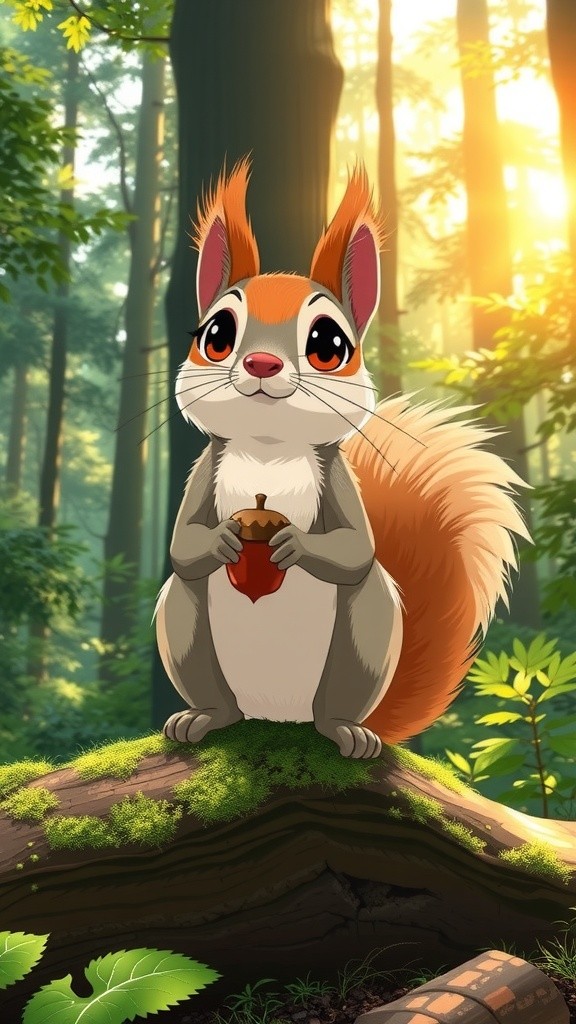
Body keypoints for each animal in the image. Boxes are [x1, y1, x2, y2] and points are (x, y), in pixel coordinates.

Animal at [154, 156, 530, 759]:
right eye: (215, 335)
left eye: (329, 344)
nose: (261, 364)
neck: (269, 449)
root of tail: (276, 713)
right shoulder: (205, 470)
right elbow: (183, 545)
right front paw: (222, 540)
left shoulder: (336, 477)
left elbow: (356, 550)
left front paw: (294, 543)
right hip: (185, 622)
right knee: (195, 621)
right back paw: (203, 717)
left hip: (364, 635)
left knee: (346, 668)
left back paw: (346, 731)